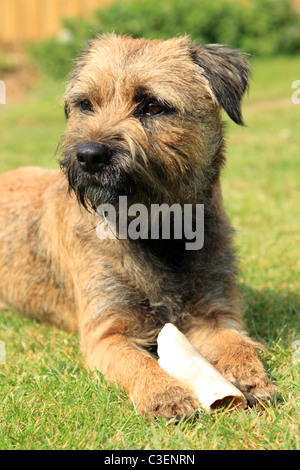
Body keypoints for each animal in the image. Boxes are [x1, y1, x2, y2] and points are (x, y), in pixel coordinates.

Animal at [0, 35, 276, 416]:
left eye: (152, 106)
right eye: (85, 104)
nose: (89, 156)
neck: (159, 230)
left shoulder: (214, 314)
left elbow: (235, 341)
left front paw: (251, 373)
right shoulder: (107, 334)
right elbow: (138, 362)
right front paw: (165, 393)